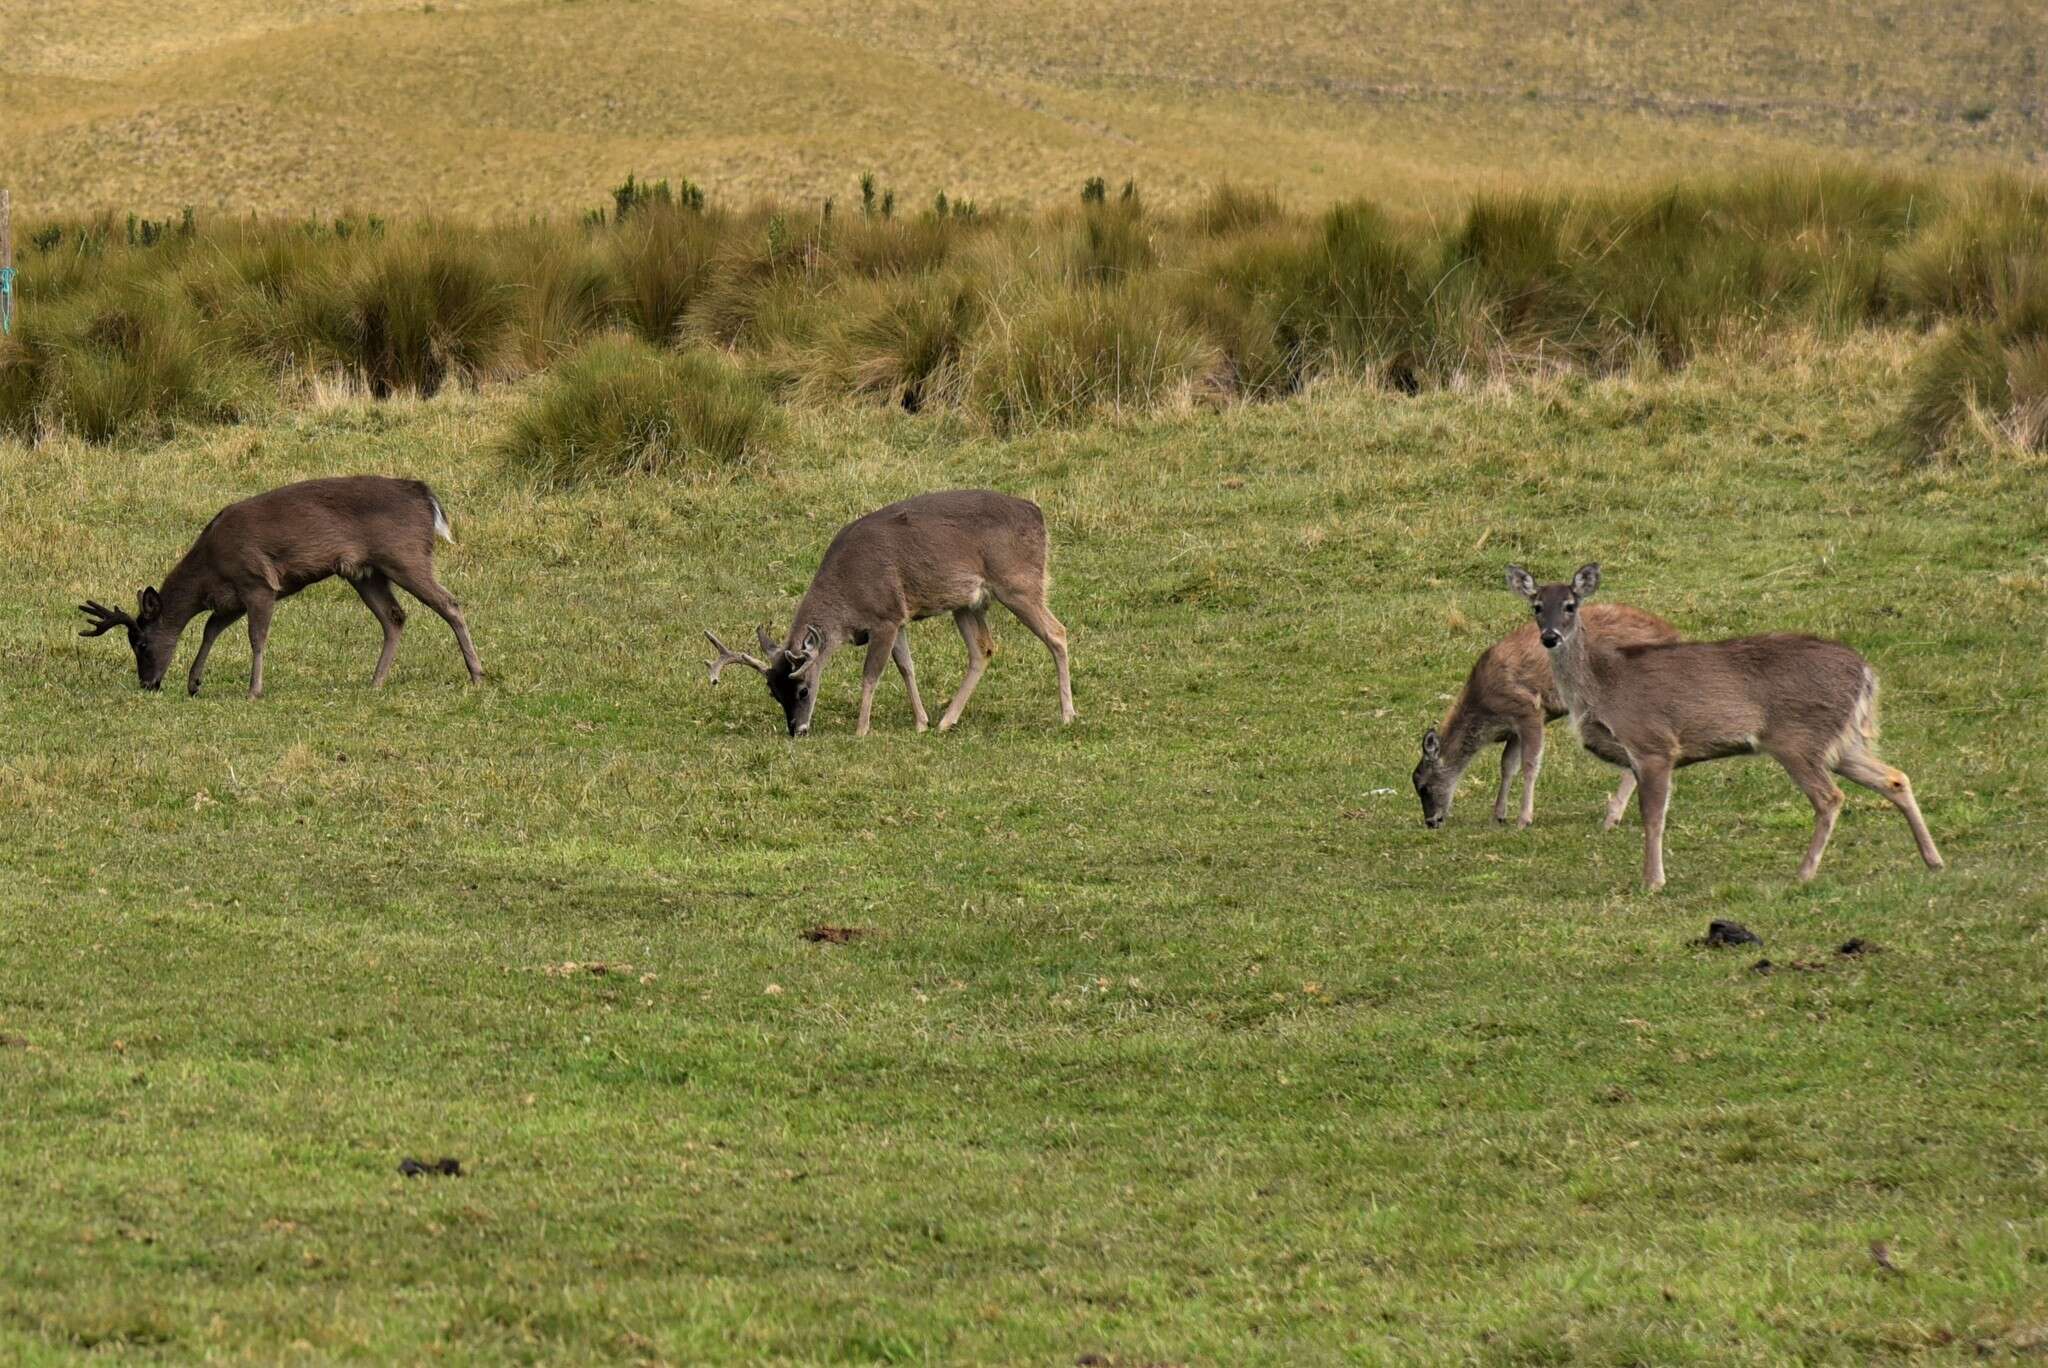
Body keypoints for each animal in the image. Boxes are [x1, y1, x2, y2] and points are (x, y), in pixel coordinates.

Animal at [75, 479, 483, 696]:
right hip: (364, 572)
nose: (148, 683)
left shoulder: (257, 582)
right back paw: (375, 681)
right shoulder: (231, 598)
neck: (209, 567)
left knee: (450, 603)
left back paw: (477, 673)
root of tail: (425, 496)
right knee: (395, 616)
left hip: (405, 555)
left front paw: (254, 690)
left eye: (141, 644)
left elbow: (256, 637)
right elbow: (210, 630)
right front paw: (194, 682)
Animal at [708, 485, 1073, 733]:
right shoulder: (898, 619)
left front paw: (861, 729)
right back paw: (946, 720)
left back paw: (1068, 713)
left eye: (803, 689)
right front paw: (921, 722)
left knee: (1057, 632)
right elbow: (906, 667)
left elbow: (871, 674)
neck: (847, 595)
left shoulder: (884, 617)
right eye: (773, 692)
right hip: (966, 604)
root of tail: (1038, 514)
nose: (797, 730)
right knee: (983, 649)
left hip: (1019, 583)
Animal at [1409, 602, 1679, 827]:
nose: (1431, 821)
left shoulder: (1529, 709)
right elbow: (1507, 765)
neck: (1487, 714)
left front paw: (1524, 818)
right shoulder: (1514, 727)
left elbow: (1530, 764)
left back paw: (1613, 816)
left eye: (1423, 786)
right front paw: (1499, 815)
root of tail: (1672, 635)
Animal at [1515, 561, 1941, 892]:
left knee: (1830, 798)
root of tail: (1866, 673)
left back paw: (1803, 874)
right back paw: (1933, 860)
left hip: (1799, 738)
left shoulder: (1654, 744)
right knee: (1895, 777)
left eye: (1570, 606)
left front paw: (1653, 881)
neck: (1603, 685)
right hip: (1840, 742)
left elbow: (1653, 817)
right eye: (1537, 606)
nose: (1549, 637)